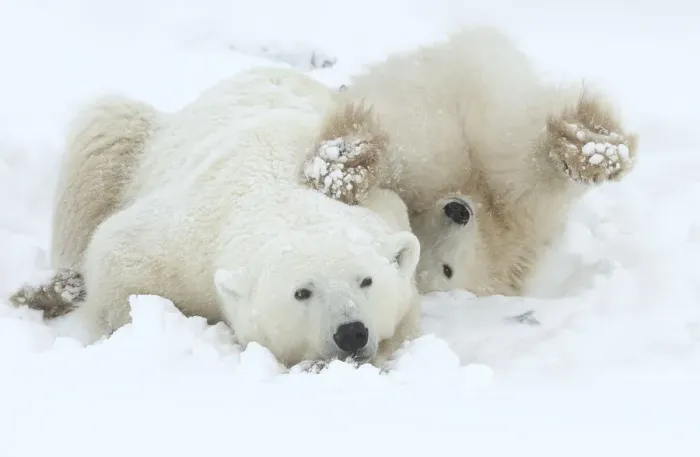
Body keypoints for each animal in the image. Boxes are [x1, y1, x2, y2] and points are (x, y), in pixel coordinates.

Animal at [9, 66, 423, 369]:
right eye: (302, 291)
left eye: (367, 280)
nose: (351, 332)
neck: (273, 189)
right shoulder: (180, 242)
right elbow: (116, 258)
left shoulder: (387, 207)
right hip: (134, 145)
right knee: (103, 131)